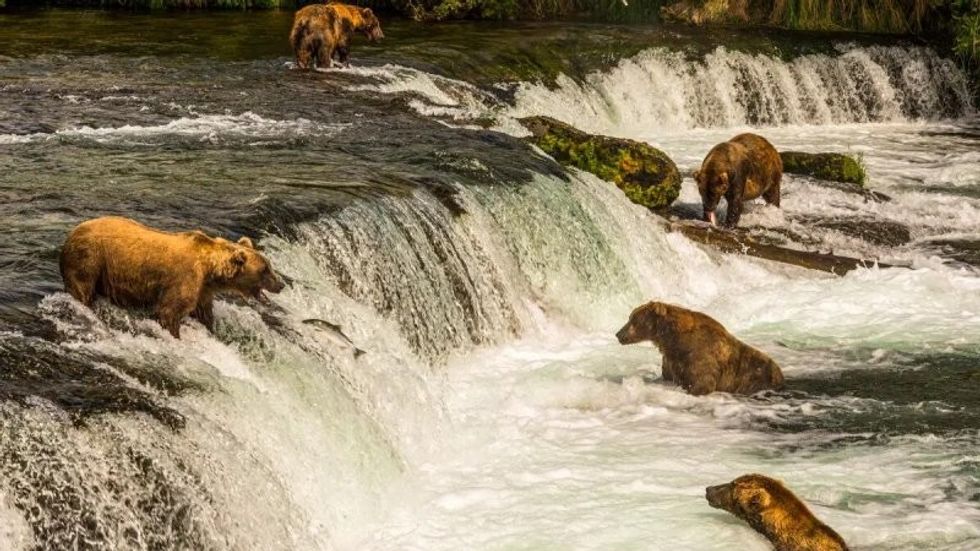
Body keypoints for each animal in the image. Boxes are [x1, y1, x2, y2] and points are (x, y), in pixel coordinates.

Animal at [60, 216, 285, 339]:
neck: (210, 270)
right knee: (82, 290)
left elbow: (203, 314)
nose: (281, 284)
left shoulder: (203, 290)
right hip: (90, 259)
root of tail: (71, 233)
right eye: (265, 269)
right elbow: (169, 312)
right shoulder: (185, 279)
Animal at [615, 301, 784, 396]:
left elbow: (702, 382)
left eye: (632, 319)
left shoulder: (699, 355)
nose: (618, 334)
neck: (671, 339)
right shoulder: (671, 358)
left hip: (758, 378)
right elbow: (667, 376)